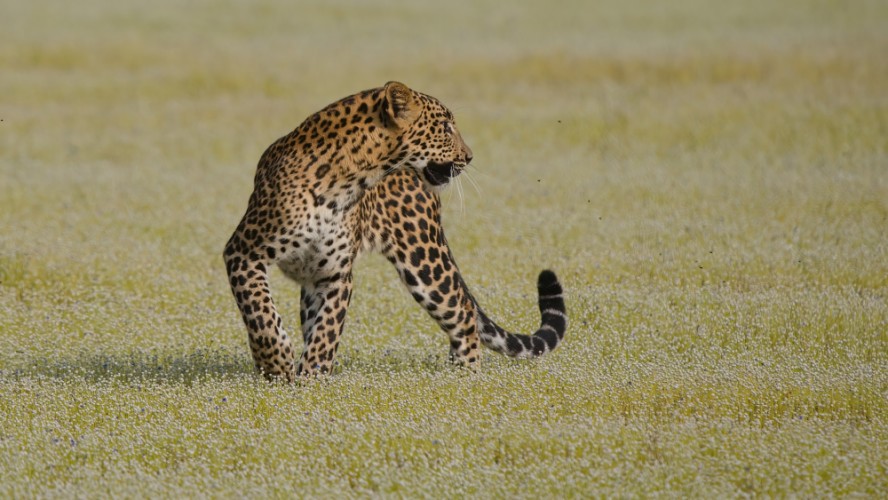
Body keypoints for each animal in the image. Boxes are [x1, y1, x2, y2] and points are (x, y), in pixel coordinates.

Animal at [224, 80, 568, 380]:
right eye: (445, 127)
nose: (469, 156)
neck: (350, 179)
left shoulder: (335, 274)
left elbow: (326, 331)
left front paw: (312, 377)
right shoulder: (243, 252)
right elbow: (261, 314)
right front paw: (278, 367)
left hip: (424, 260)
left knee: (464, 312)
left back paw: (464, 378)